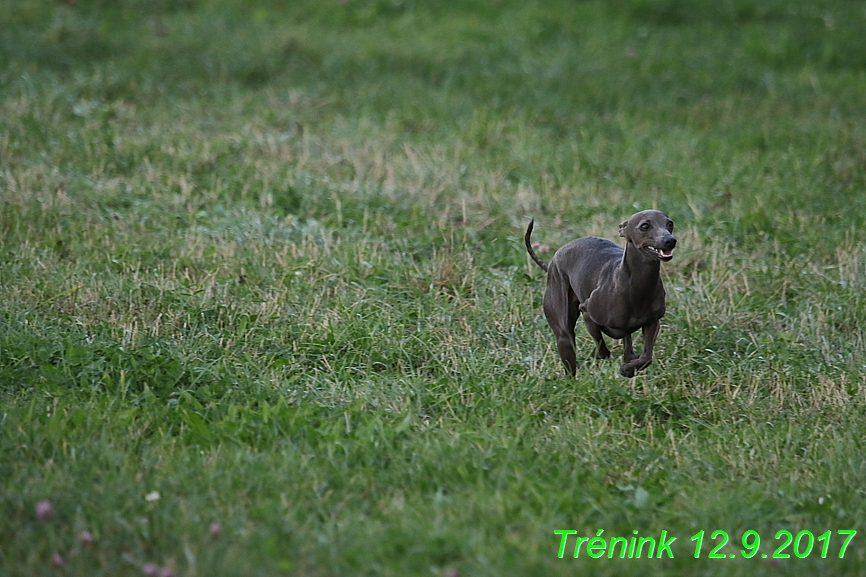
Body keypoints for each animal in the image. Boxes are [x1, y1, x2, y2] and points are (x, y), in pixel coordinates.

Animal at [524, 209, 680, 376]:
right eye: (645, 226)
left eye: (670, 224)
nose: (670, 240)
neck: (636, 284)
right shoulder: (587, 312)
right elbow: (602, 349)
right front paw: (605, 358)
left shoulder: (652, 322)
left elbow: (647, 357)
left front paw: (629, 368)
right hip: (563, 331)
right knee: (568, 346)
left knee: (627, 345)